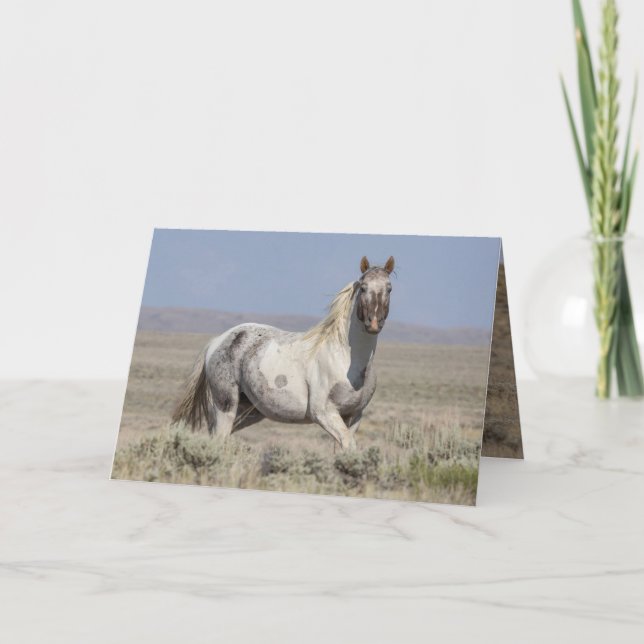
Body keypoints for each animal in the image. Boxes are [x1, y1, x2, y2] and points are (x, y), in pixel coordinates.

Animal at [172, 255, 395, 450]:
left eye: (389, 288)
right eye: (364, 287)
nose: (374, 323)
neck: (346, 359)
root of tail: (217, 341)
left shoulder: (354, 416)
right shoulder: (324, 413)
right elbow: (349, 445)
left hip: (249, 410)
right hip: (225, 404)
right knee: (218, 440)